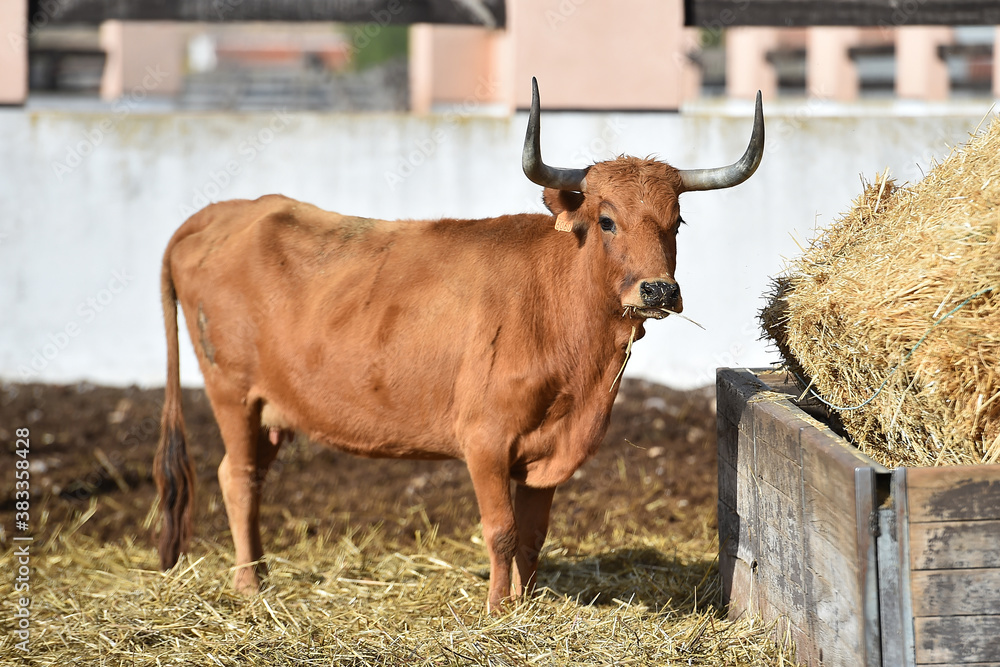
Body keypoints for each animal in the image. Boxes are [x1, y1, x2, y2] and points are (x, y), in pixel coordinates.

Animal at [158, 78, 764, 612]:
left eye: (676, 221)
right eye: (606, 220)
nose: (659, 289)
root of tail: (227, 212)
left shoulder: (546, 449)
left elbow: (532, 535)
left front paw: (527, 603)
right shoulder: (485, 441)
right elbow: (500, 530)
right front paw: (497, 608)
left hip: (271, 408)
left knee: (250, 477)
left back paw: (259, 574)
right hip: (231, 393)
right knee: (237, 479)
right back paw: (249, 585)